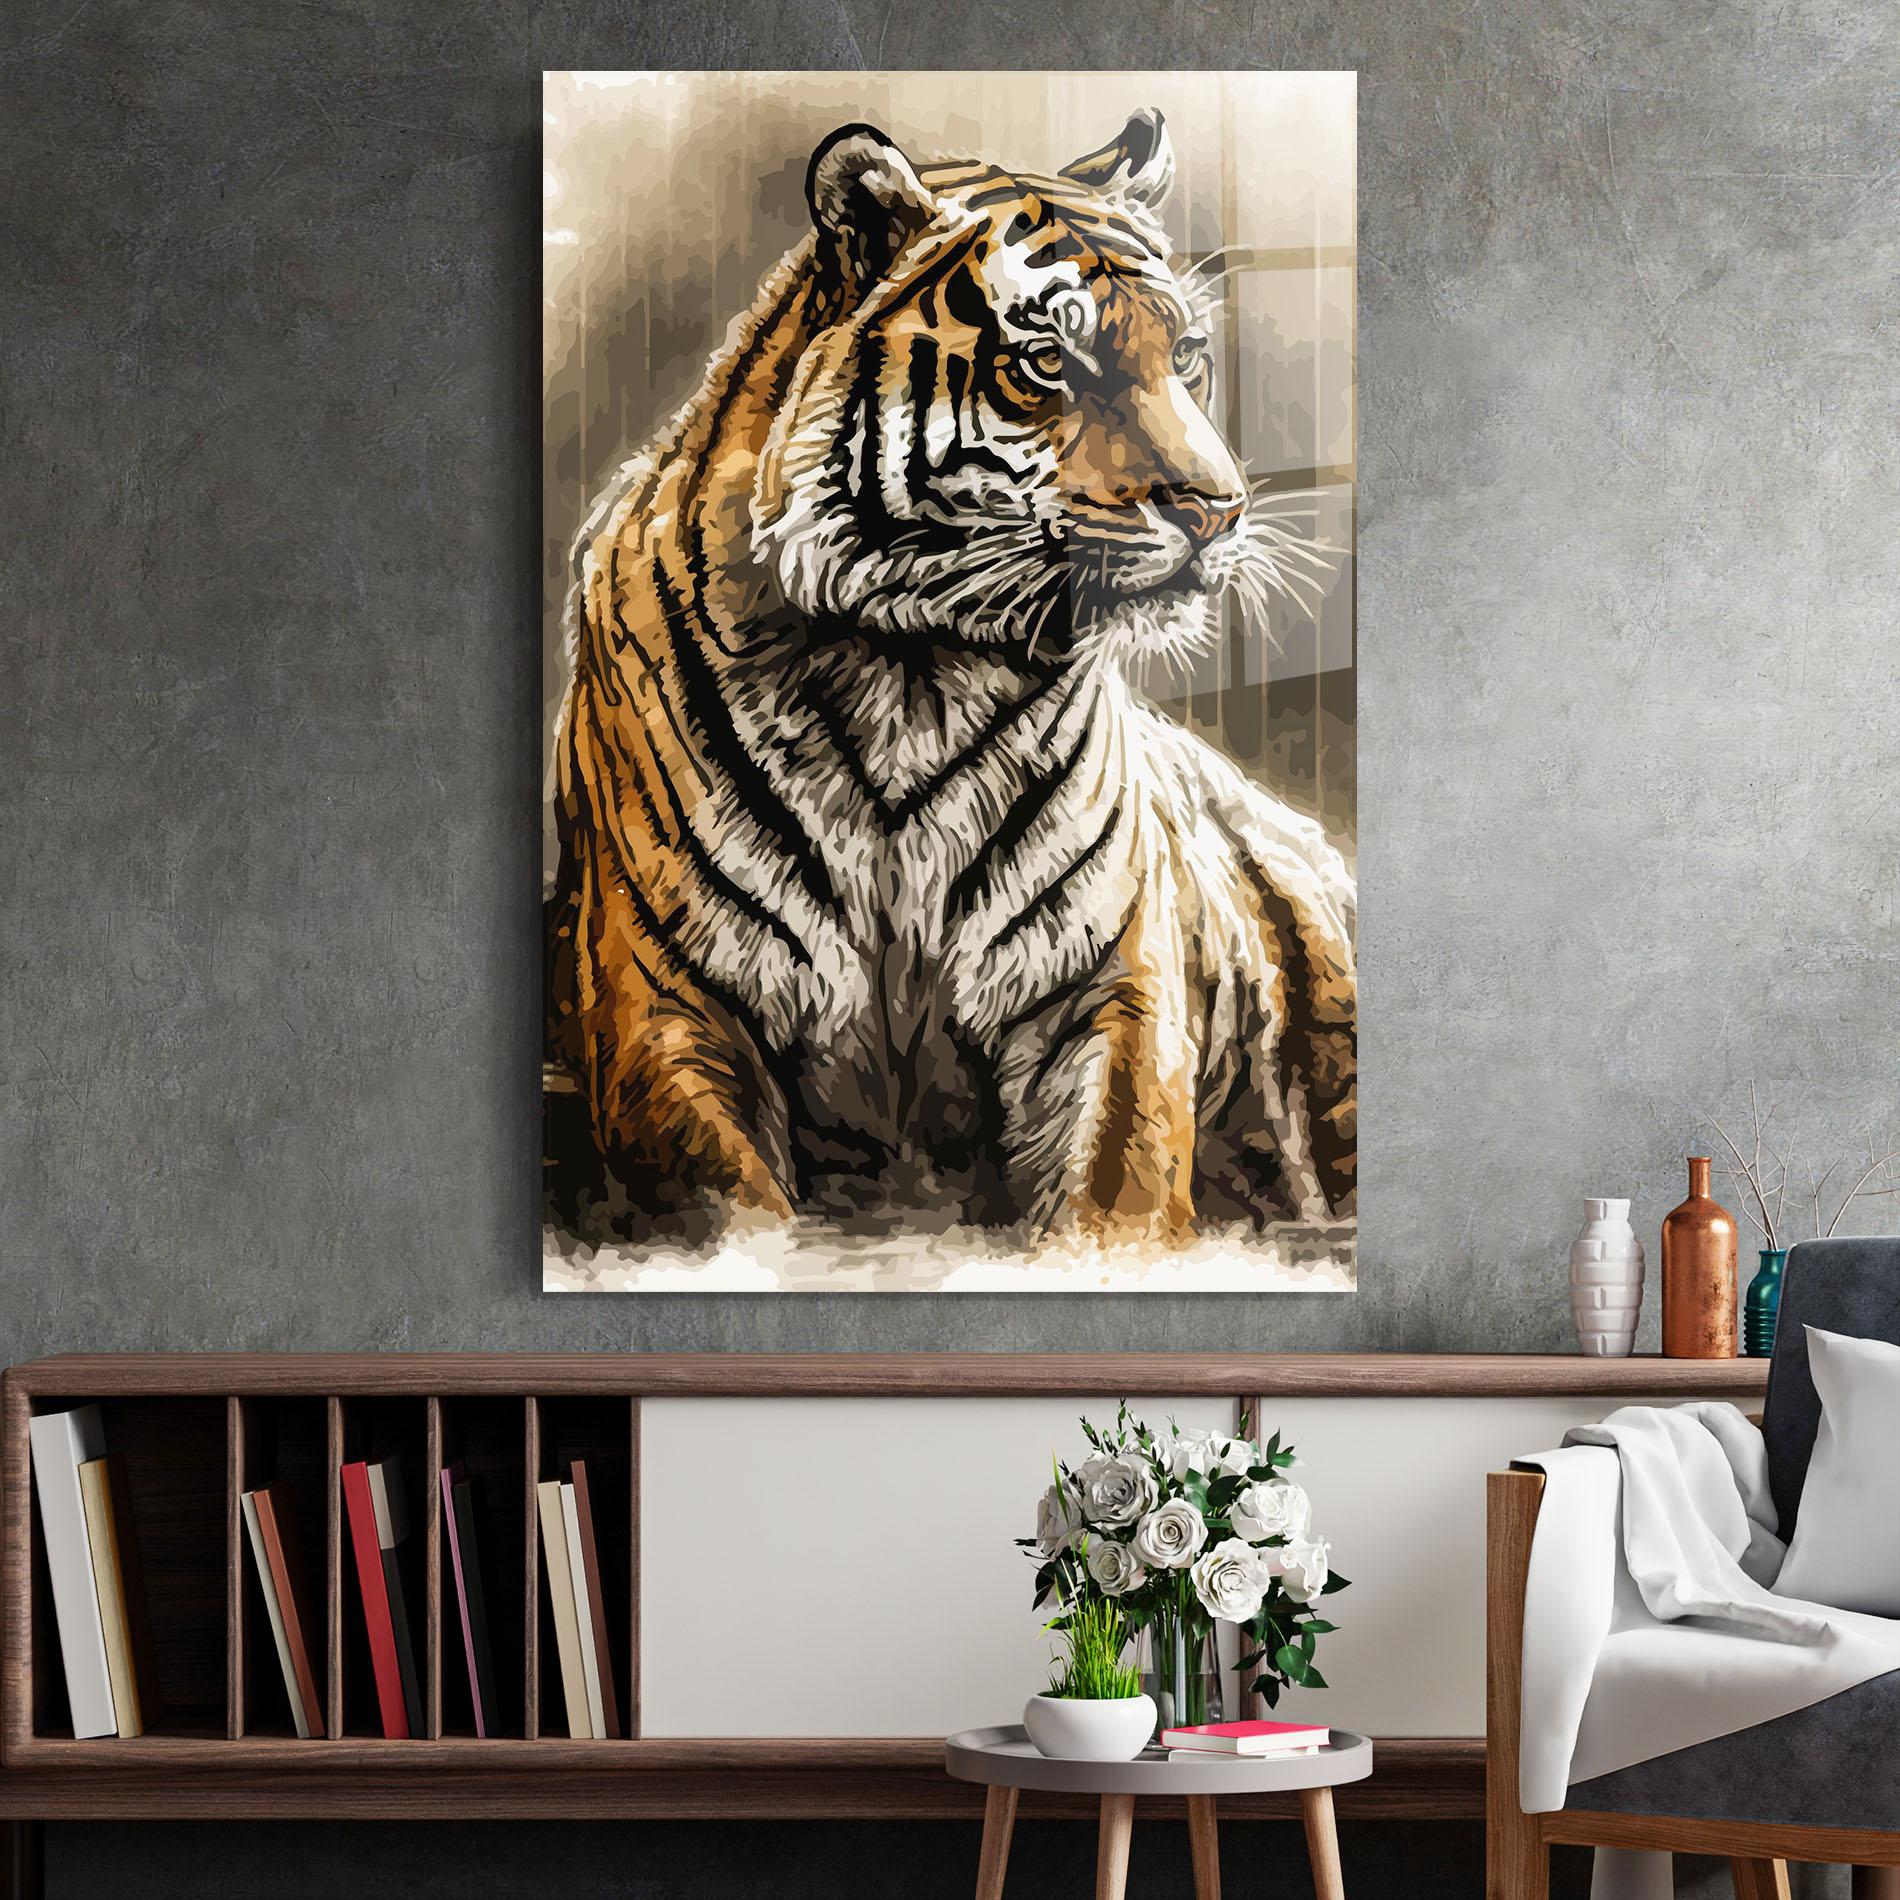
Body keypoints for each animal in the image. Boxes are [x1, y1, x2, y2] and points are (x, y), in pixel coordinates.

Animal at [544, 107, 1356, 1251]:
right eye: (1048, 361)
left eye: (1188, 354)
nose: (1218, 507)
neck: (908, 670)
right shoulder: (664, 1002)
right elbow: (736, 1215)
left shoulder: (1109, 986)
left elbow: (1114, 1193)